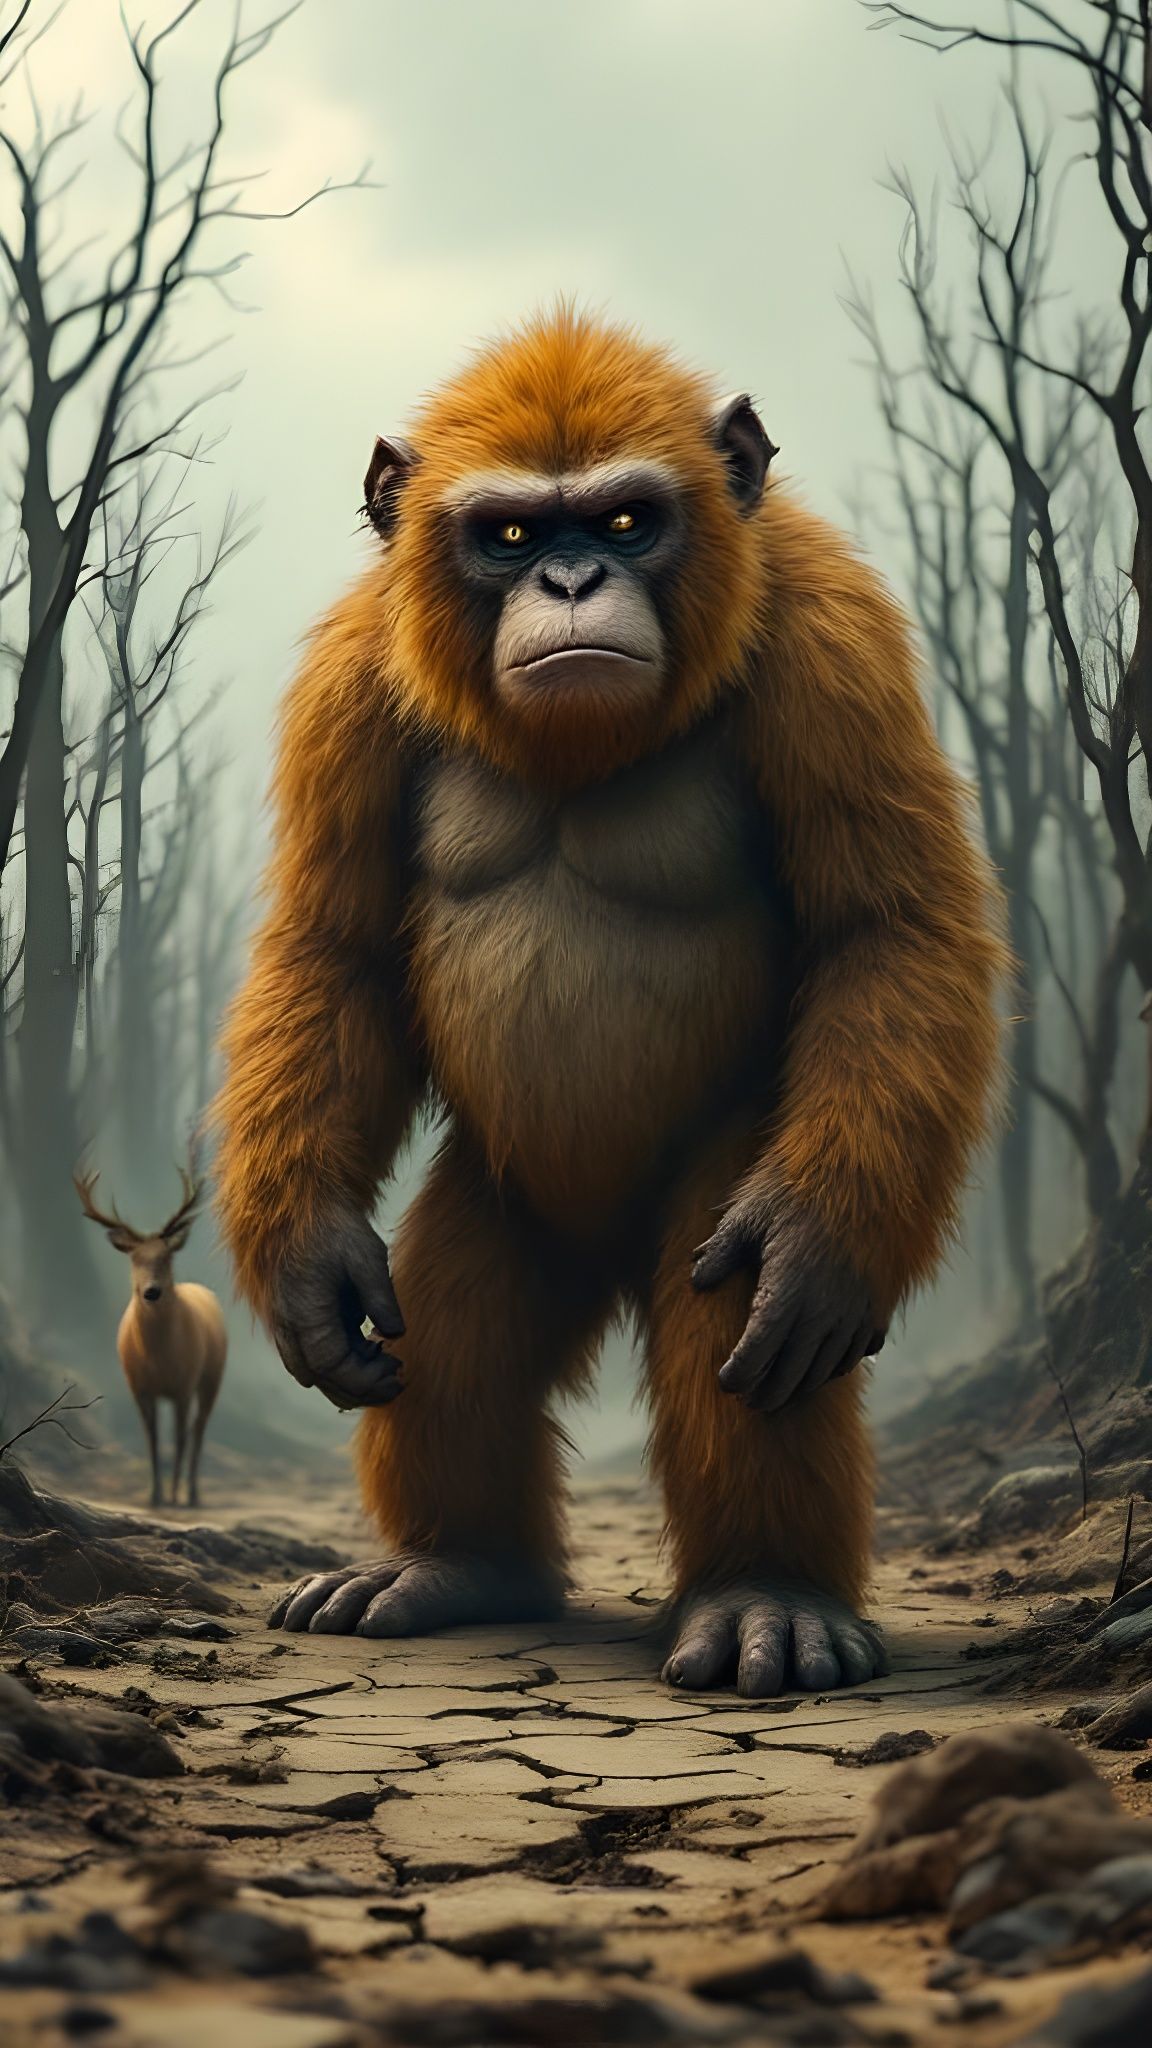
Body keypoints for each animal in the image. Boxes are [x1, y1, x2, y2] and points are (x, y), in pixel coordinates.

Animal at [214, 308, 1005, 1697]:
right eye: (511, 534)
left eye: (628, 520)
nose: (574, 580)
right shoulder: (351, 680)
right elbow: (335, 952)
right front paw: (305, 1257)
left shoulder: (834, 637)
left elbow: (885, 932)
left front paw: (823, 1250)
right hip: (509, 1189)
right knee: (456, 1339)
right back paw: (457, 1563)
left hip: (733, 1170)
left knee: (731, 1327)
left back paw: (765, 1592)